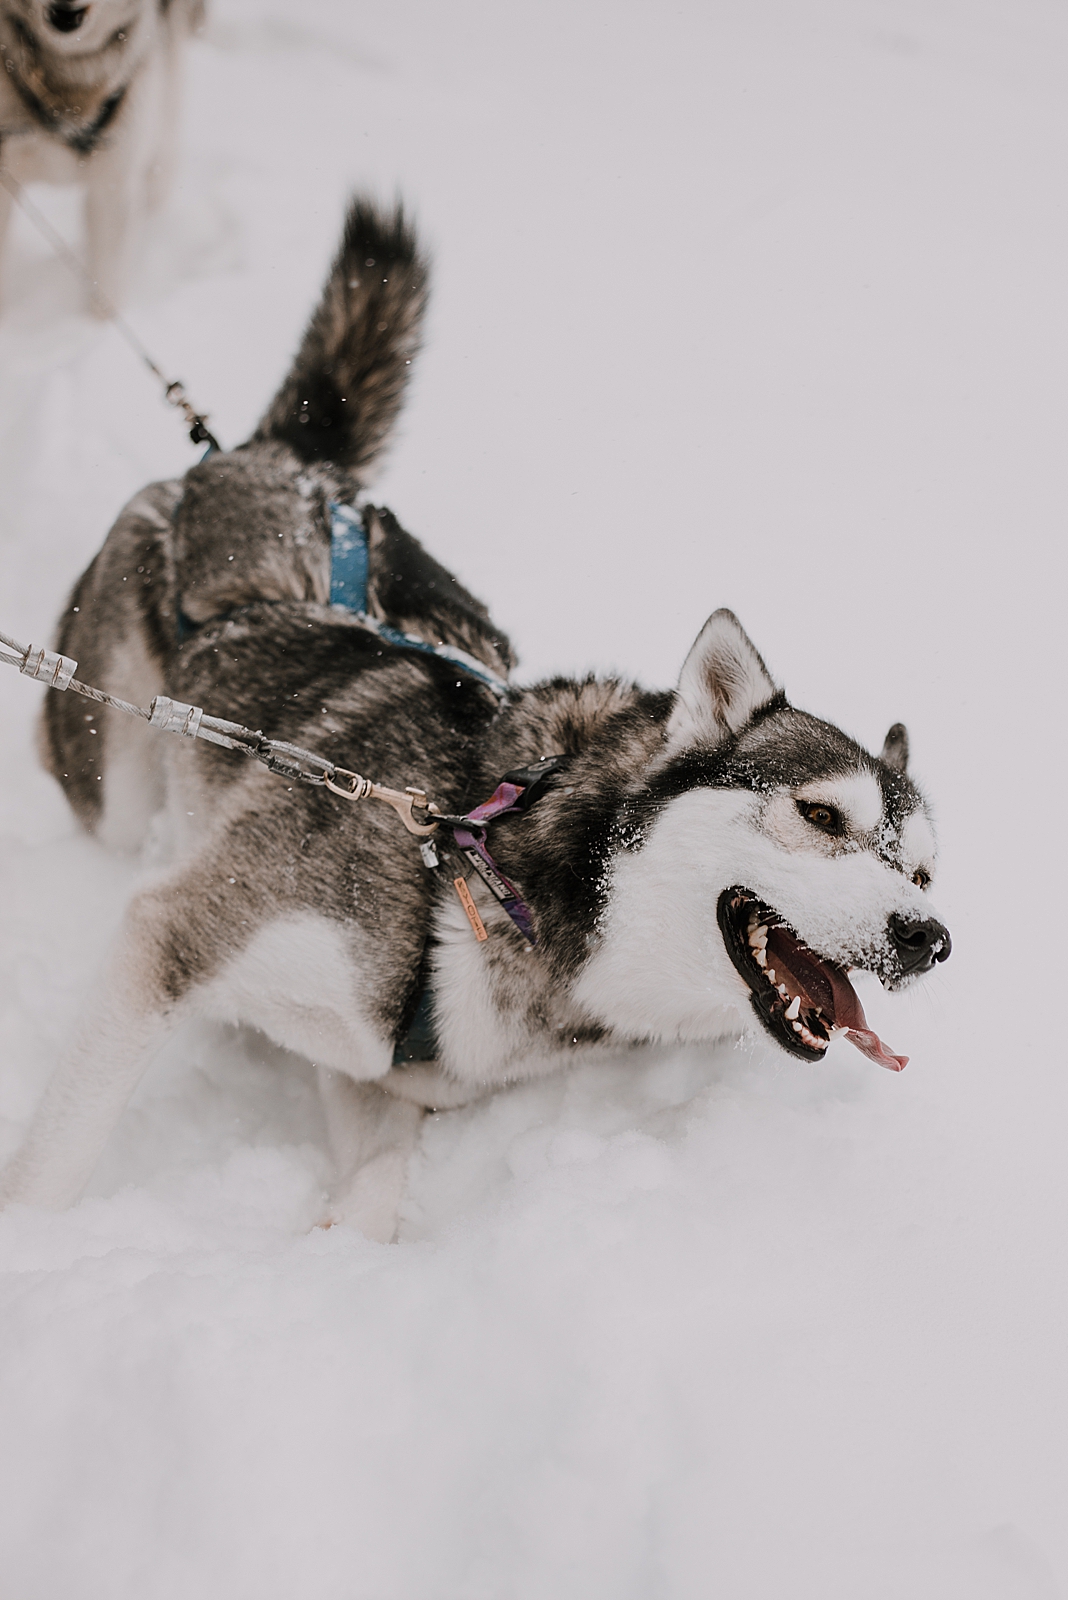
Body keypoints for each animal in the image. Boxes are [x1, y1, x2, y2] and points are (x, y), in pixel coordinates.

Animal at [0, 200, 952, 1235]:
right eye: (819, 814)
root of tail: (270, 464)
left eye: (924, 871)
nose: (928, 937)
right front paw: (35, 1242)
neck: (490, 867)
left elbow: (376, 1184)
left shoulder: (376, 1065)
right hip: (114, 780)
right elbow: (59, 1160)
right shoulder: (170, 940)